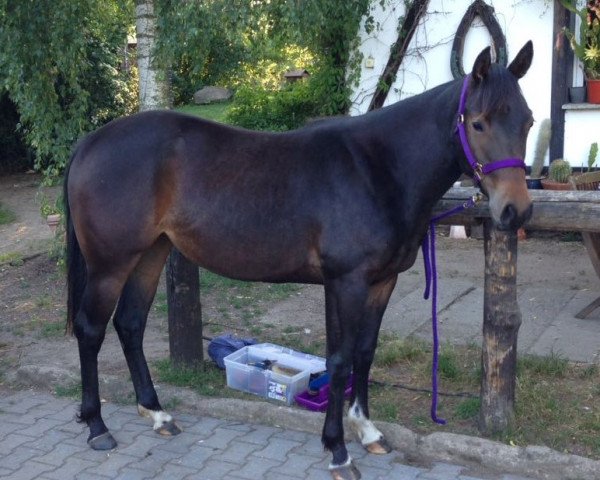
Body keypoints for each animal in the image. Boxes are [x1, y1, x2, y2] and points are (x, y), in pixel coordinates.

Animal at [64, 42, 536, 480]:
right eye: (478, 122)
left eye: (528, 121)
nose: (515, 211)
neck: (377, 168)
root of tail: (91, 141)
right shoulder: (346, 282)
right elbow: (339, 360)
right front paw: (339, 451)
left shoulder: (381, 283)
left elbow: (364, 353)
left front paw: (368, 431)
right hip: (110, 265)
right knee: (90, 330)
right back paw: (97, 426)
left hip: (151, 253)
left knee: (130, 324)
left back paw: (157, 412)